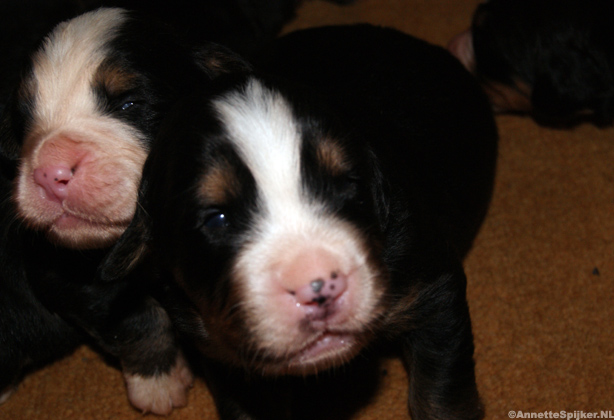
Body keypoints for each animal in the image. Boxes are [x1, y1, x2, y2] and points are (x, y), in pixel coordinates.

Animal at [0, 7, 253, 414]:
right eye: (26, 118)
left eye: (129, 104)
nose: (49, 174)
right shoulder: (61, 267)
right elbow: (136, 317)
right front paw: (159, 383)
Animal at [100, 25, 498, 419]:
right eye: (217, 218)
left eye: (344, 185)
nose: (318, 287)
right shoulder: (223, 350)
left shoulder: (434, 290)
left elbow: (439, 395)